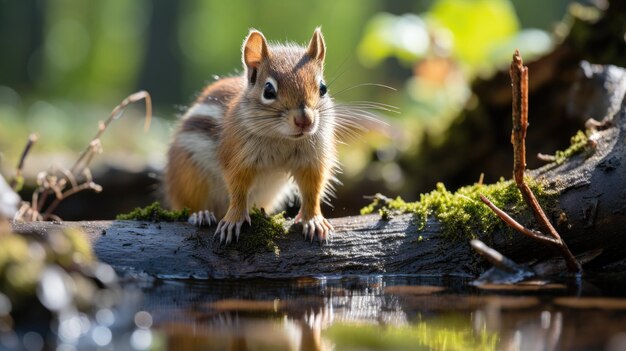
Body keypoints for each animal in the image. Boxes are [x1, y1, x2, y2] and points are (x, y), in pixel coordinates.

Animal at [163, 28, 336, 245]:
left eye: (323, 88)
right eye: (268, 90)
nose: (304, 120)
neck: (283, 138)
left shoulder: (312, 160)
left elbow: (312, 190)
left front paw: (313, 220)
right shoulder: (237, 157)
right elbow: (238, 190)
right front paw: (233, 220)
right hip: (188, 177)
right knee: (188, 205)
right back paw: (201, 214)